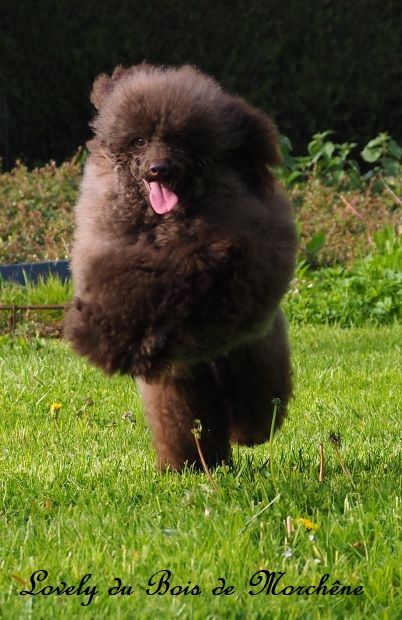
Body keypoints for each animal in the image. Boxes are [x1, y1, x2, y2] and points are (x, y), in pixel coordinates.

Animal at [64, 63, 296, 470]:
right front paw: (107, 340)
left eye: (180, 140)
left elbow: (212, 272)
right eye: (139, 141)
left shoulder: (253, 255)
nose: (158, 169)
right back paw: (194, 464)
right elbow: (122, 287)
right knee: (191, 422)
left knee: (257, 403)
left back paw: (244, 433)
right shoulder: (109, 245)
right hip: (179, 387)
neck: (167, 219)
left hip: (254, 356)